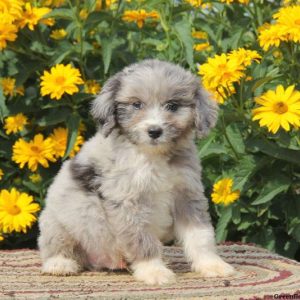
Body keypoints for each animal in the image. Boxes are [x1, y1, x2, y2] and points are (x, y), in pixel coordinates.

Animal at [37, 59, 234, 286]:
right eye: (136, 105)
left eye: (173, 106)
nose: (155, 131)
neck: (152, 157)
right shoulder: (128, 201)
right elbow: (141, 239)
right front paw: (153, 271)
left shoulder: (187, 194)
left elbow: (200, 235)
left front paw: (212, 265)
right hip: (58, 222)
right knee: (57, 245)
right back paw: (60, 264)